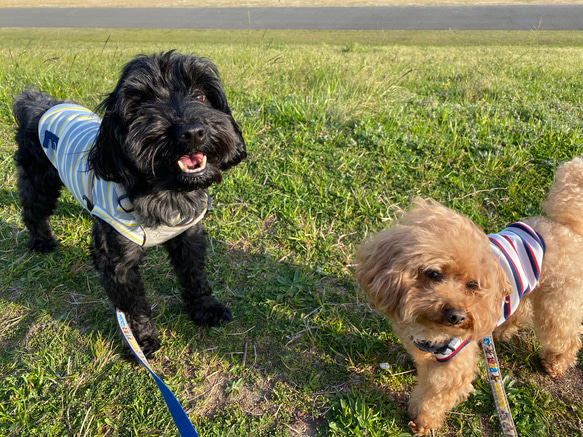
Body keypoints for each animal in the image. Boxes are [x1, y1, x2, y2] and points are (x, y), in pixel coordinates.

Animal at [13, 51, 246, 358]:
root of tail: (36, 102)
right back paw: (41, 241)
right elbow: (133, 306)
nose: (192, 132)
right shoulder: (116, 259)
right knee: (33, 210)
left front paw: (205, 309)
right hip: (39, 178)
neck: (164, 190)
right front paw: (141, 342)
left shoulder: (189, 235)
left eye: (200, 95)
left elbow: (194, 275)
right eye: (144, 103)